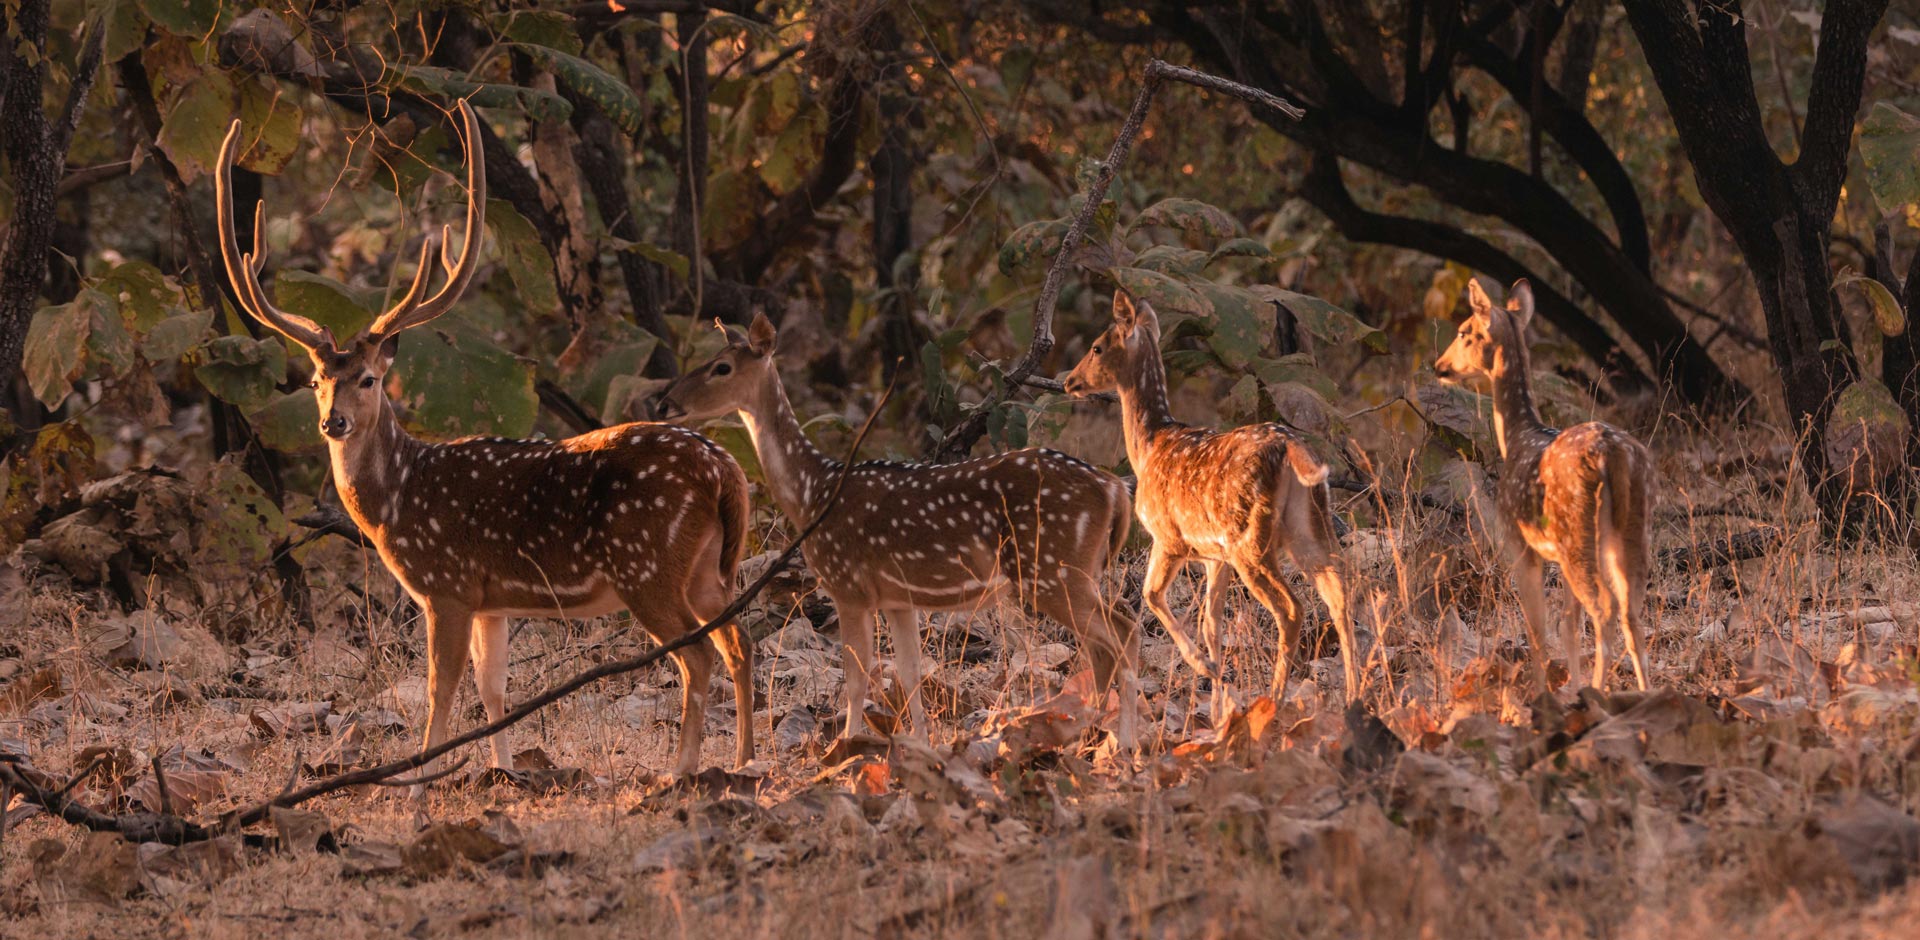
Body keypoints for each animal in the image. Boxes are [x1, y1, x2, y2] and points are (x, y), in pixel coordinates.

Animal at [210, 99, 748, 782]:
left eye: (368, 379)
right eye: (315, 381)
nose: (334, 423)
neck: (396, 503)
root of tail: (725, 469)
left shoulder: (448, 583)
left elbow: (440, 688)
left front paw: (416, 778)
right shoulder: (492, 600)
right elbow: (494, 688)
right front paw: (506, 771)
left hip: (647, 564)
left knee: (698, 656)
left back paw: (681, 770)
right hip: (708, 566)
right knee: (739, 642)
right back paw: (745, 758)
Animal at [660, 316, 1136, 748]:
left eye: (721, 367)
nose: (665, 404)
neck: (814, 493)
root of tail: (1115, 489)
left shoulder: (847, 585)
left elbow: (856, 678)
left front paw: (844, 747)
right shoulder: (897, 598)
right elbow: (909, 675)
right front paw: (921, 746)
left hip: (1052, 566)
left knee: (1121, 633)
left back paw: (1124, 739)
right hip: (1073, 569)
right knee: (1105, 644)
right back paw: (1089, 734)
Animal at [1059, 293, 1359, 713]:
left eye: (1097, 346)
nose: (1069, 381)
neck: (1150, 447)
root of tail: (1290, 447)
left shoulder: (1168, 537)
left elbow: (1152, 595)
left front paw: (1205, 668)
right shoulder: (1215, 557)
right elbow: (1210, 622)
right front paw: (1217, 700)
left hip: (1251, 539)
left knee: (1291, 609)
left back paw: (1274, 699)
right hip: (1310, 526)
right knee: (1340, 592)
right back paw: (1353, 694)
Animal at [1436, 278, 1658, 690]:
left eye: (1463, 331)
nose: (1439, 366)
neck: (1517, 438)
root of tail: (1611, 454)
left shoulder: (1518, 542)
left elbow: (1537, 629)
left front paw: (1545, 694)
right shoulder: (1554, 555)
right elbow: (1567, 624)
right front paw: (1570, 687)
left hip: (1577, 532)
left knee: (1605, 609)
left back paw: (1598, 691)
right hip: (1634, 527)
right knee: (1631, 613)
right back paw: (1642, 692)